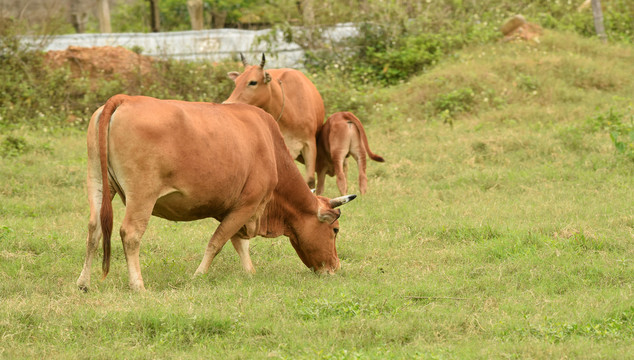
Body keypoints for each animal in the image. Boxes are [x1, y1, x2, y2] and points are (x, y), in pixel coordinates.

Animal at [76, 94, 354, 292]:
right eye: (335, 230)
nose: (335, 267)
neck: (270, 148)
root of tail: (124, 98)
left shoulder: (235, 209)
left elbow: (238, 242)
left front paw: (249, 272)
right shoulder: (248, 204)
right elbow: (218, 241)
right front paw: (198, 275)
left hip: (97, 182)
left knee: (94, 229)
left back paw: (83, 283)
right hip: (142, 194)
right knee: (131, 233)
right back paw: (138, 285)